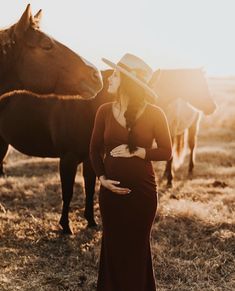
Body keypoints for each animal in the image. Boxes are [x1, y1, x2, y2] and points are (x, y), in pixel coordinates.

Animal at [0, 69, 113, 236]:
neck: (86, 109)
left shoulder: (90, 159)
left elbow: (90, 189)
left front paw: (91, 221)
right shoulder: (68, 159)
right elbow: (67, 193)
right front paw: (66, 227)